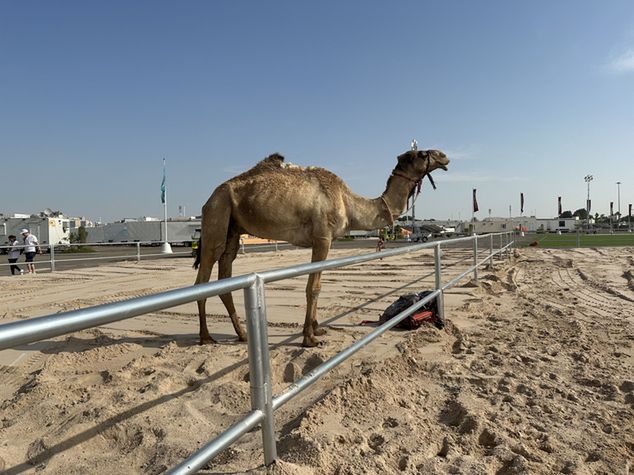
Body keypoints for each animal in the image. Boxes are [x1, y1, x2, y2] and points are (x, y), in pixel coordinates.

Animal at [194, 151, 450, 348]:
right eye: (422, 154)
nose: (444, 156)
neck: (349, 203)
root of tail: (209, 198)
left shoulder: (324, 241)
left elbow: (317, 285)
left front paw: (317, 330)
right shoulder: (322, 238)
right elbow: (313, 288)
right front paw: (309, 339)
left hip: (233, 228)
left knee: (225, 271)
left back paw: (242, 334)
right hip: (217, 212)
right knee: (204, 275)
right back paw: (205, 337)